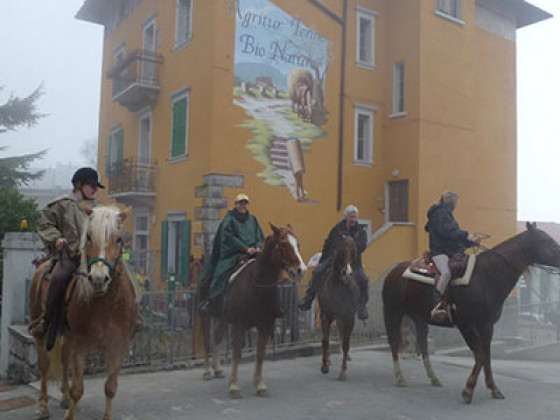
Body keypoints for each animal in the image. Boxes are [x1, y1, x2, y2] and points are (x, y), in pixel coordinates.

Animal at [29, 207, 134, 420]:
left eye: (119, 239)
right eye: (89, 236)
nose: (99, 279)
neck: (106, 305)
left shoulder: (118, 346)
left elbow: (110, 387)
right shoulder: (81, 344)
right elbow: (77, 389)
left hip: (67, 335)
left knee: (63, 358)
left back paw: (63, 398)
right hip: (42, 331)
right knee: (44, 363)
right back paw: (43, 406)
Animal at [199, 221, 308, 398]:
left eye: (297, 244)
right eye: (283, 244)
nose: (301, 270)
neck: (257, 283)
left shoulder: (265, 324)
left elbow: (260, 354)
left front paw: (259, 384)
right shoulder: (238, 324)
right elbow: (237, 354)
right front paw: (234, 386)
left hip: (223, 317)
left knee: (217, 336)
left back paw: (218, 369)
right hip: (206, 314)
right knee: (207, 340)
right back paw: (208, 370)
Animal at [316, 233, 358, 380]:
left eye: (354, 252)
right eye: (342, 251)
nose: (347, 273)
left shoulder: (349, 317)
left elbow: (346, 343)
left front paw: (343, 371)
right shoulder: (326, 315)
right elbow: (325, 339)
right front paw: (324, 366)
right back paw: (327, 360)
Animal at [380, 223, 560, 404]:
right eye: (547, 241)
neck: (485, 277)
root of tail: (393, 271)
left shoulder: (487, 326)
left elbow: (486, 356)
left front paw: (493, 388)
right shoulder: (466, 325)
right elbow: (479, 355)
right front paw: (468, 390)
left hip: (420, 319)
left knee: (423, 346)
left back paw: (434, 378)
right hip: (393, 313)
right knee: (394, 343)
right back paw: (400, 378)